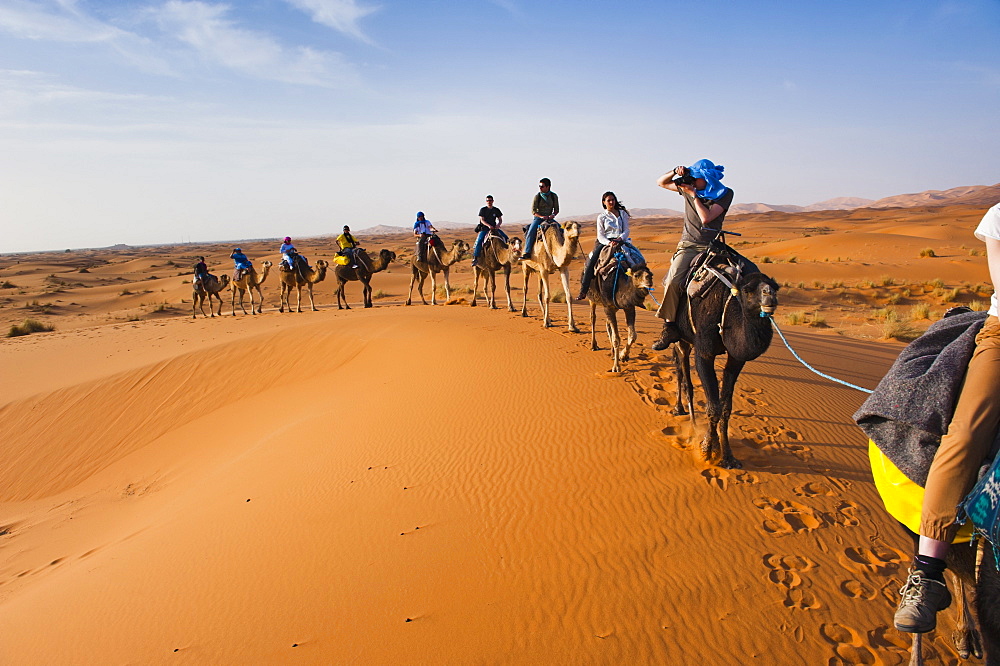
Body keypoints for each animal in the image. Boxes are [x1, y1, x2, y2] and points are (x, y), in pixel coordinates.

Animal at [672, 264, 780, 466]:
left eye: (776, 287)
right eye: (747, 290)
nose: (769, 295)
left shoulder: (736, 359)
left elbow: (725, 407)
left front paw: (728, 456)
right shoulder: (704, 352)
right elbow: (713, 406)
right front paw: (707, 449)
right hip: (682, 336)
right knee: (682, 371)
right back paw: (684, 416)